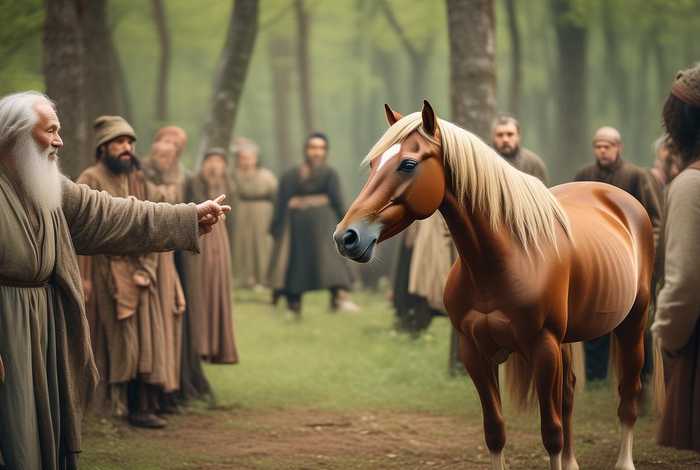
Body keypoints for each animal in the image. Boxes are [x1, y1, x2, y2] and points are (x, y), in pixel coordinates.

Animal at [333, 101, 661, 470]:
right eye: (375, 163)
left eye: (408, 164)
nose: (346, 236)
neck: (503, 261)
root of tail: (622, 201)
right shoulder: (475, 353)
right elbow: (495, 430)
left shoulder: (543, 348)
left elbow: (551, 433)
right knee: (569, 395)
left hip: (632, 324)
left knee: (628, 395)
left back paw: (625, 461)